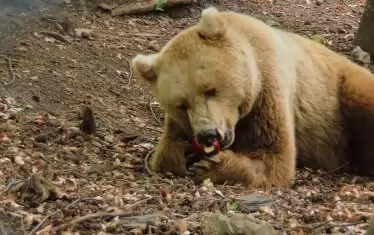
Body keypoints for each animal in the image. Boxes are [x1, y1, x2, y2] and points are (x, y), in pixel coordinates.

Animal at [131, 6, 374, 188]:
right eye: (181, 105)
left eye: (211, 90)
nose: (209, 135)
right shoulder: (179, 124)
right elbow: (164, 154)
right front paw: (187, 152)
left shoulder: (269, 91)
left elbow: (275, 156)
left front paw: (209, 165)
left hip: (340, 90)